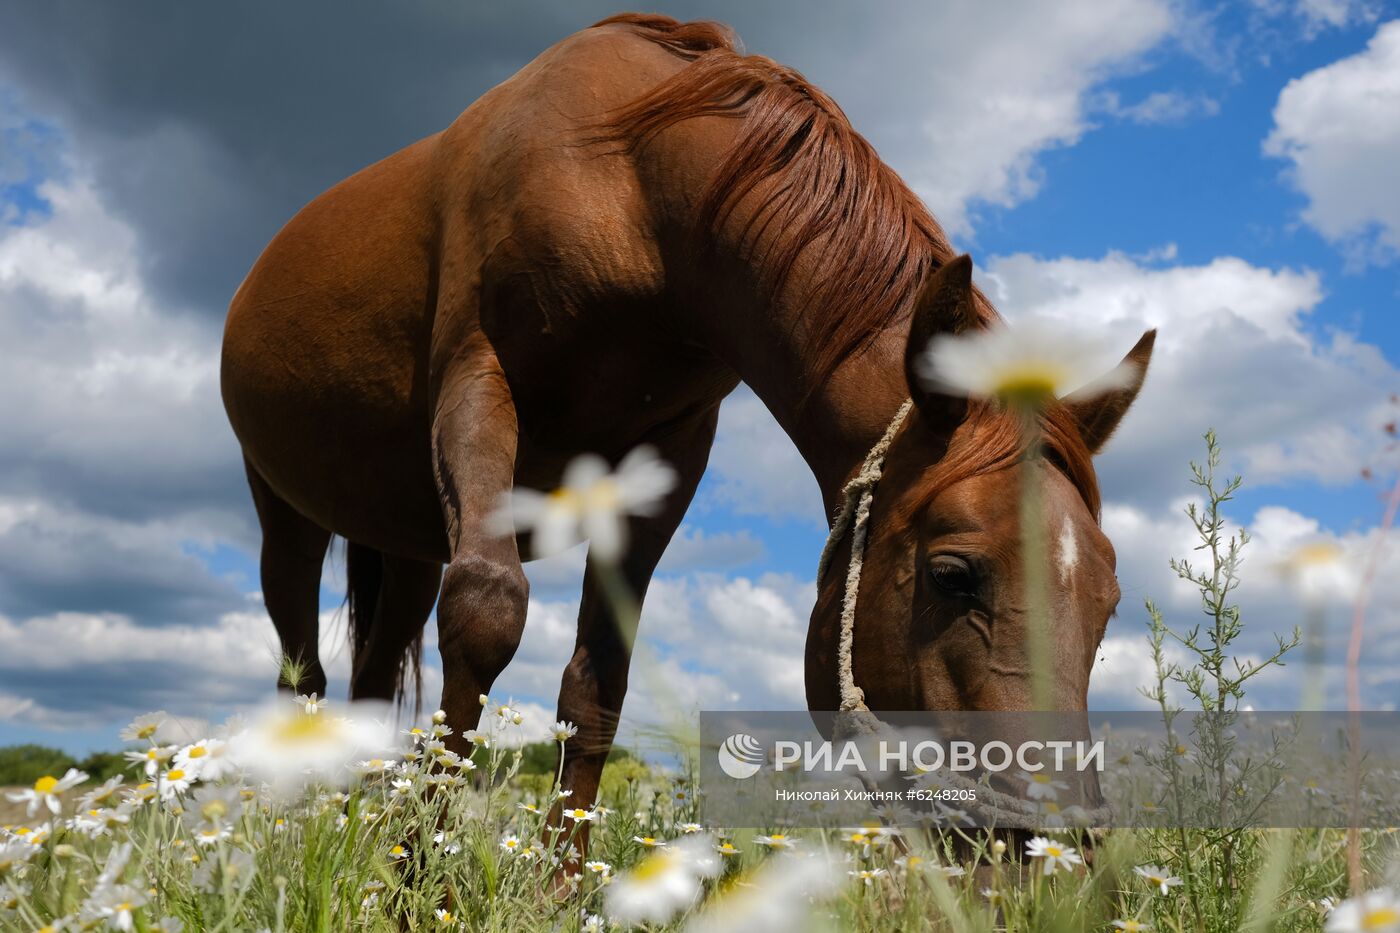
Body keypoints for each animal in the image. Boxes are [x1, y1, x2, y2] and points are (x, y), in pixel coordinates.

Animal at [224, 14, 1153, 812]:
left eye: (1108, 602)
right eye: (954, 574)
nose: (1057, 846)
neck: (629, 189)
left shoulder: (669, 456)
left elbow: (598, 678)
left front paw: (560, 884)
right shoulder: (478, 382)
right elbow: (485, 614)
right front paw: (419, 881)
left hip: (406, 544)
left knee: (370, 681)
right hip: (287, 519)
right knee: (303, 678)